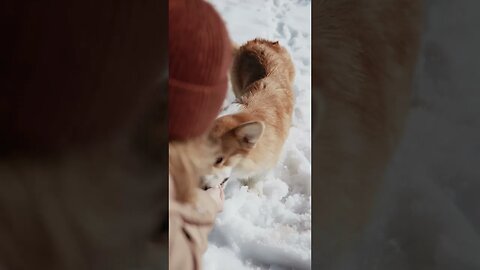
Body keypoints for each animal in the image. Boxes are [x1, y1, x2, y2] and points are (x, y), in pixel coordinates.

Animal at [200, 38, 296, 194]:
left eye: (220, 160)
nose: (202, 188)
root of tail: (256, 42)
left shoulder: (267, 164)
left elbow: (256, 180)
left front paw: (254, 193)